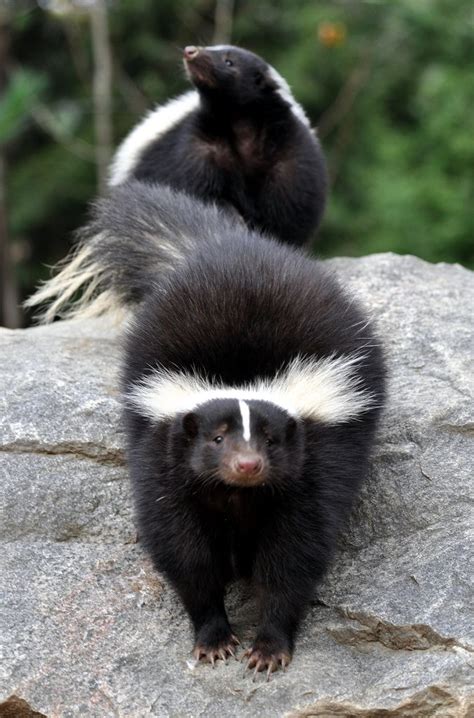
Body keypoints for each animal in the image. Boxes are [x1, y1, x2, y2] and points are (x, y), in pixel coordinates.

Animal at [28, 183, 386, 676]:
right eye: (217, 438)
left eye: (271, 440)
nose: (248, 465)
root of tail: (226, 245)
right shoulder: (162, 450)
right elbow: (186, 554)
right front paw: (213, 638)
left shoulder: (317, 459)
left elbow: (293, 556)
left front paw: (269, 646)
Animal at [109, 45, 328, 248]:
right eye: (211, 47)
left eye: (229, 62)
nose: (190, 51)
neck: (240, 125)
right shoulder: (198, 146)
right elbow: (198, 193)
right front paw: (232, 219)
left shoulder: (291, 158)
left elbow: (287, 213)